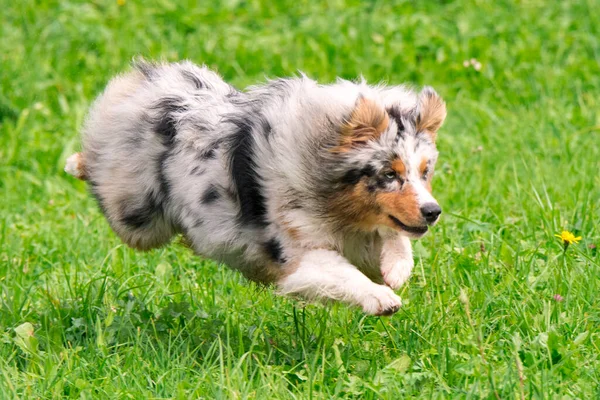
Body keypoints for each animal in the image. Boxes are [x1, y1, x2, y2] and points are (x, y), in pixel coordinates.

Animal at [69, 60, 446, 316]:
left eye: (424, 172)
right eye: (389, 174)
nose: (434, 212)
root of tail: (147, 82)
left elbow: (394, 239)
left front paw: (395, 270)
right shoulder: (298, 255)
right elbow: (343, 274)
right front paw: (382, 298)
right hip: (138, 219)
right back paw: (75, 162)